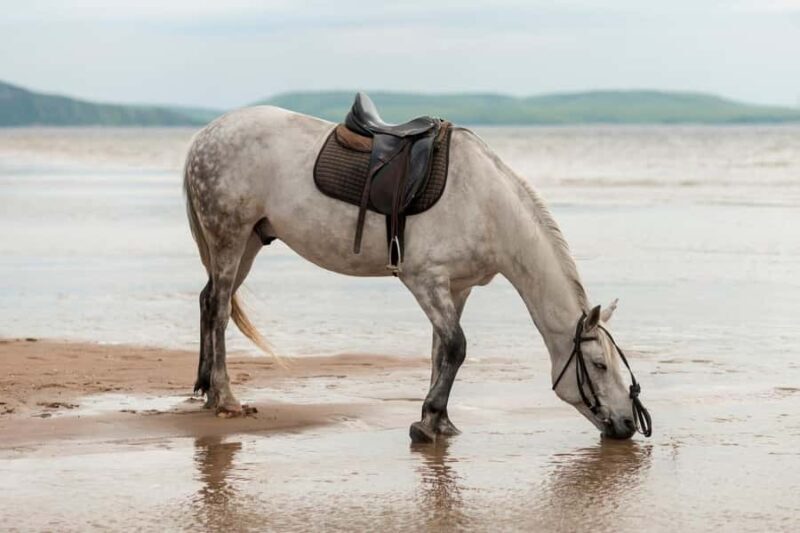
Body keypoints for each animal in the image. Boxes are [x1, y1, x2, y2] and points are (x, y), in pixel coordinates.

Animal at [183, 105, 651, 443]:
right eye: (598, 365)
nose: (628, 425)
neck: (487, 205)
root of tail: (205, 136)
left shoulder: (458, 288)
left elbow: (441, 351)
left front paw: (439, 420)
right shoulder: (425, 281)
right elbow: (456, 346)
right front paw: (427, 423)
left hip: (248, 242)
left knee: (208, 301)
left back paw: (206, 391)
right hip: (229, 237)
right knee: (220, 309)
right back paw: (225, 398)